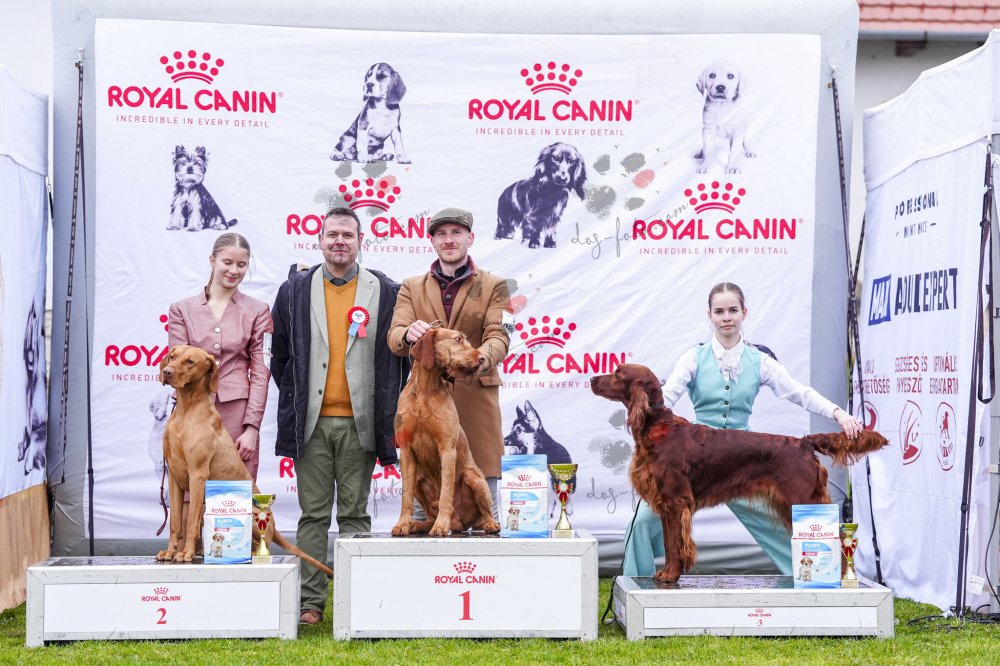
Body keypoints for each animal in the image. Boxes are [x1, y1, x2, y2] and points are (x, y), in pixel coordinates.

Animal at [156, 345, 331, 574]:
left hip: (253, 516)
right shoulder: (174, 478)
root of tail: (274, 527)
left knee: (259, 544)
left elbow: (191, 521)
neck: (187, 410)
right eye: (172, 357)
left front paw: (185, 554)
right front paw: (170, 552)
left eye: (190, 362)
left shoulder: (197, 475)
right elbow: (176, 523)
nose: (167, 372)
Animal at [391, 328, 500, 537]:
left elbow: (446, 493)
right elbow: (406, 497)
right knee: (428, 514)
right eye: (457, 339)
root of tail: (460, 523)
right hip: (419, 479)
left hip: (474, 478)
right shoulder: (406, 452)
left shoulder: (447, 450)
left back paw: (489, 524)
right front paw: (402, 524)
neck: (424, 392)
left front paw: (441, 526)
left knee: (486, 512)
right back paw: (419, 525)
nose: (482, 358)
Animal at [590, 363, 889, 583]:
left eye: (617, 375)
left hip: (804, 499)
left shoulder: (675, 502)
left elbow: (674, 543)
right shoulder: (666, 504)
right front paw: (667, 573)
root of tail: (803, 442)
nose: (592, 378)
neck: (657, 428)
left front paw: (671, 575)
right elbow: (667, 541)